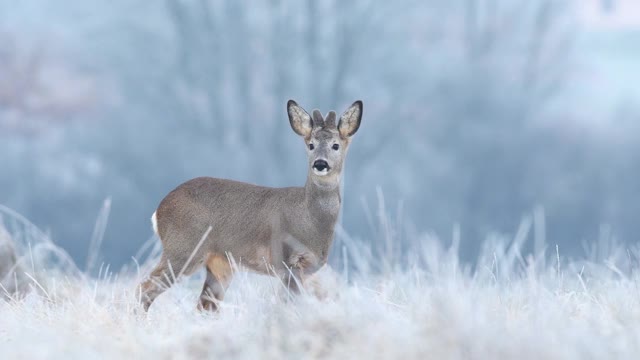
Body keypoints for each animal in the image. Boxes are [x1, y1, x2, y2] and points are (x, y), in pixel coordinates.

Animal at [138, 100, 362, 310]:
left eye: (336, 145)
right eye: (311, 145)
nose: (320, 164)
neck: (310, 220)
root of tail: (159, 210)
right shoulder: (286, 260)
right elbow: (288, 303)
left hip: (219, 263)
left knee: (205, 305)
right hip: (183, 248)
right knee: (144, 288)